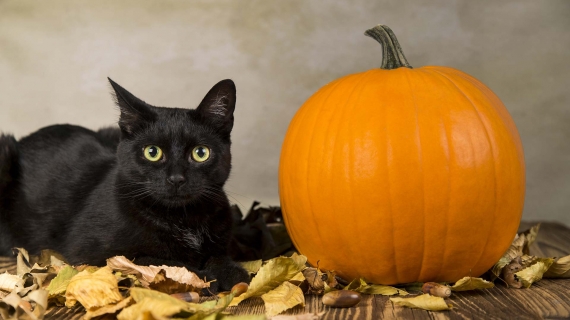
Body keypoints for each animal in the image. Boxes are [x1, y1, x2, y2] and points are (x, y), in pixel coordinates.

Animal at [0, 78, 248, 292]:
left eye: (200, 153)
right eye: (152, 152)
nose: (176, 178)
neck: (183, 218)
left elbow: (219, 255)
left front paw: (231, 271)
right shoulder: (90, 254)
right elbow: (159, 261)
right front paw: (204, 278)